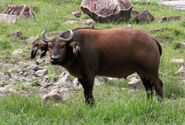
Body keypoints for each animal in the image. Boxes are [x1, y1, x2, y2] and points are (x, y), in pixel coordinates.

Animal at [31, 27, 163, 105]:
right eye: (49, 46)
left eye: (63, 46)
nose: (55, 58)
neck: (78, 50)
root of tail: (152, 39)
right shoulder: (81, 76)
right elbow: (85, 92)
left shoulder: (90, 75)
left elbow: (89, 92)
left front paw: (92, 105)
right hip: (142, 73)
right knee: (148, 88)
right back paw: (148, 103)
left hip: (151, 71)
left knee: (158, 85)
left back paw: (160, 102)